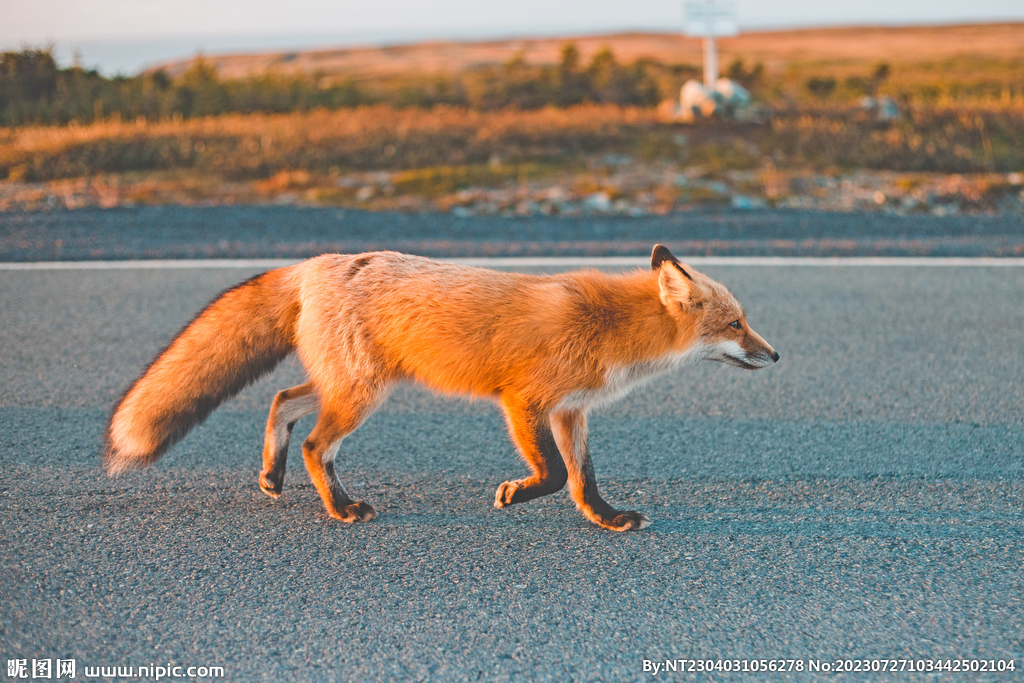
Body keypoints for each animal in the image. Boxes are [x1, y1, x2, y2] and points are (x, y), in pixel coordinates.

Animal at [105, 242, 774, 532]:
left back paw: (272, 475)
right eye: (737, 324)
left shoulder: (571, 411)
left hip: (349, 385)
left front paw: (606, 519)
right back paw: (341, 508)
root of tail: (314, 263)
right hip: (361, 394)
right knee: (317, 445)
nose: (775, 354)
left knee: (281, 401)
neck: (611, 326)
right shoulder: (524, 401)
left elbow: (583, 479)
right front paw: (513, 494)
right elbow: (553, 475)